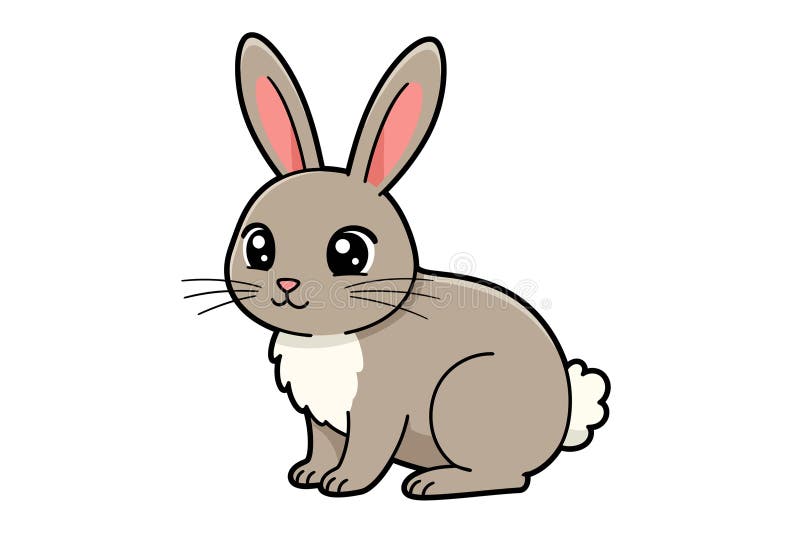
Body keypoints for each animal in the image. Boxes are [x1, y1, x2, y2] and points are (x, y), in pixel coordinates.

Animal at [217, 32, 609, 499]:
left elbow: (366, 449)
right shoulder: (321, 417)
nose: (288, 284)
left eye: (350, 252)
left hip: (464, 395)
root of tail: (564, 417)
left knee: (508, 476)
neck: (327, 338)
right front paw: (308, 475)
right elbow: (323, 443)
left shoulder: (378, 408)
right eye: (258, 247)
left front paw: (342, 483)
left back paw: (433, 482)